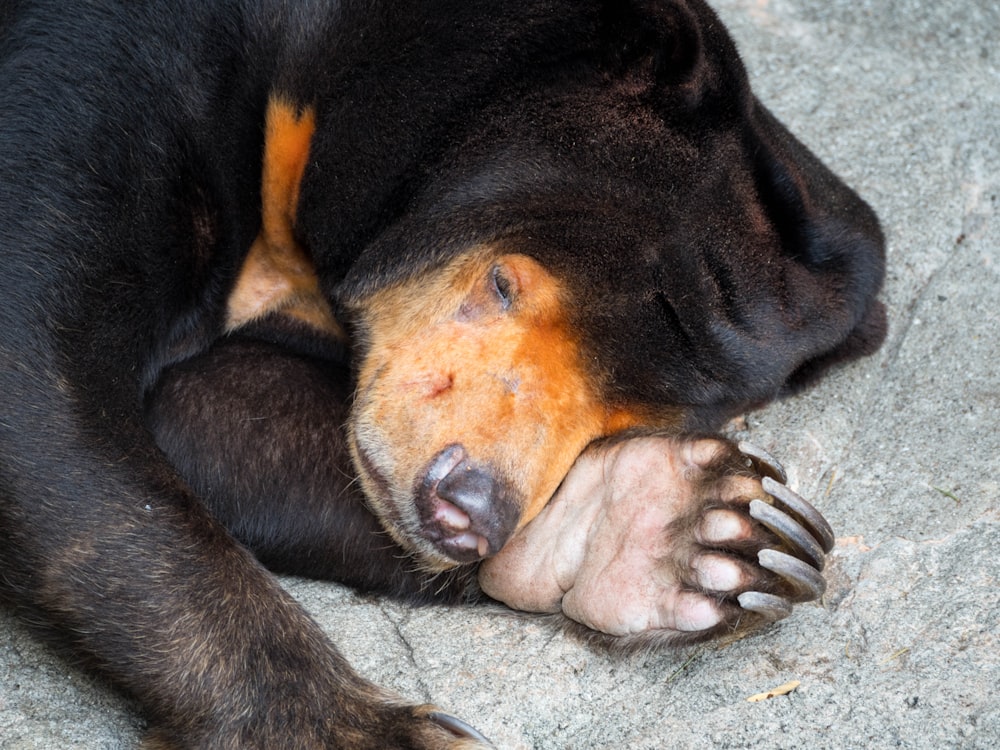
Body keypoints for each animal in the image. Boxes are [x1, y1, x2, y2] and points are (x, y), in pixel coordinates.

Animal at [1, 0, 884, 748]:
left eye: (630, 419)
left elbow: (208, 410)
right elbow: (49, 395)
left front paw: (684, 529)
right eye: (503, 283)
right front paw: (371, 731)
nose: (469, 509)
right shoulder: (105, 66)